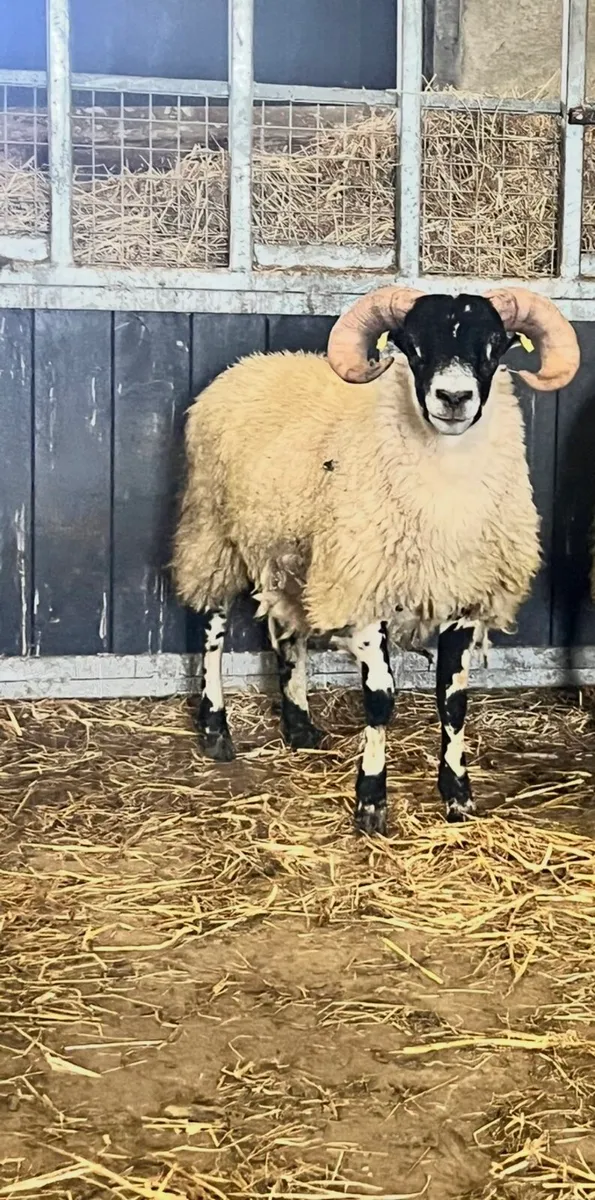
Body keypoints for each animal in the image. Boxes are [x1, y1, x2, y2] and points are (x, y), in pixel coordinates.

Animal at [173, 286, 579, 835]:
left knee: (286, 633)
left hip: (293, 551)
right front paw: (370, 801)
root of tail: (253, 362)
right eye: (412, 345)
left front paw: (458, 796)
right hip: (215, 532)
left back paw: (299, 727)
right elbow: (381, 699)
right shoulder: (365, 590)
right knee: (213, 631)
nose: (454, 398)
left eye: (495, 344)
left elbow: (453, 702)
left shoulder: (462, 597)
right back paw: (216, 729)